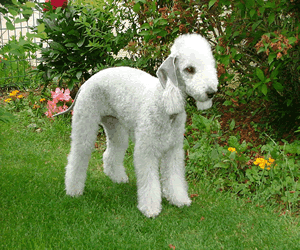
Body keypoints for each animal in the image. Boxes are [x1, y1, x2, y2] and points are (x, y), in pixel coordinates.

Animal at [55, 33, 218, 217]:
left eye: (210, 65)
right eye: (189, 69)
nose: (211, 92)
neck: (163, 102)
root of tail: (87, 81)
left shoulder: (173, 149)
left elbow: (174, 177)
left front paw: (179, 199)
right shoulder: (146, 150)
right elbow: (149, 181)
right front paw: (150, 208)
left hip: (115, 126)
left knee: (111, 153)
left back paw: (118, 178)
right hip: (85, 123)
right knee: (77, 156)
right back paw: (73, 190)